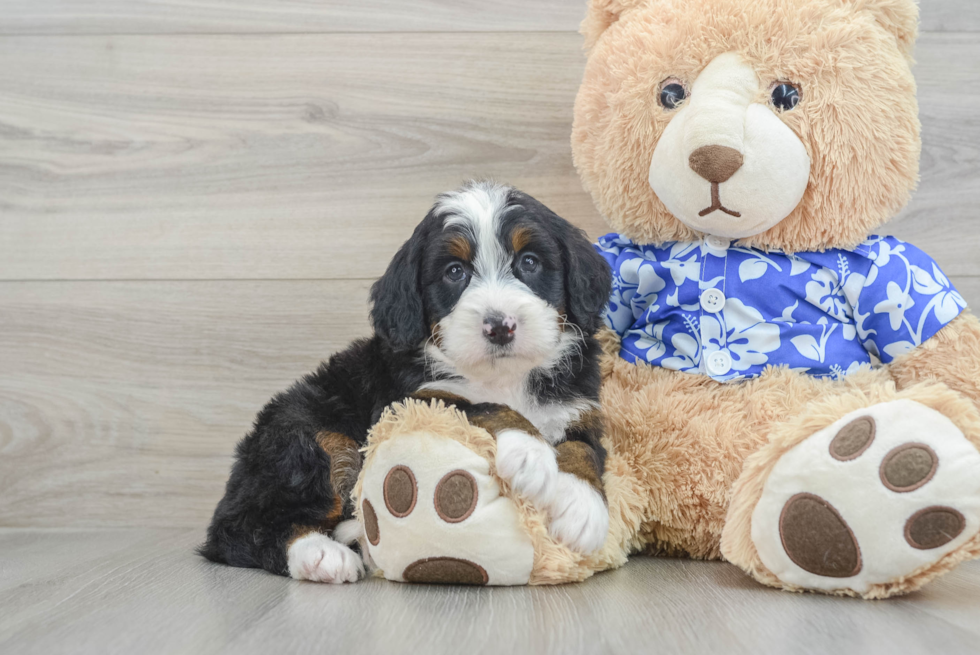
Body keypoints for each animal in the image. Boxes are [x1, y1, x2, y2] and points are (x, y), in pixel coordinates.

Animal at [199, 181, 612, 584]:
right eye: (454, 272)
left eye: (529, 262)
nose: (500, 326)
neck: (504, 376)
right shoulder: (412, 399)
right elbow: (481, 405)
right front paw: (530, 453)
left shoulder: (579, 404)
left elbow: (583, 449)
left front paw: (583, 507)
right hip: (307, 433)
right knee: (240, 528)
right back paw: (321, 555)